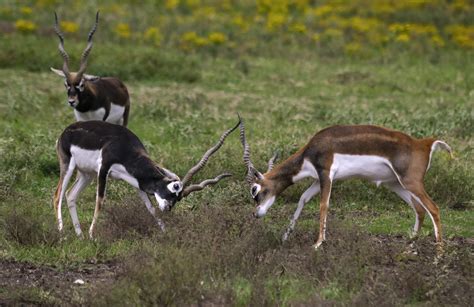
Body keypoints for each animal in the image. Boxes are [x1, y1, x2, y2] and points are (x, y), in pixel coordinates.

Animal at [54, 119, 241, 239]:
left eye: (179, 198)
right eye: (175, 189)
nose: (168, 208)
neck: (126, 148)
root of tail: (66, 130)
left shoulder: (137, 182)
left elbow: (150, 208)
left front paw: (166, 231)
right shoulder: (104, 169)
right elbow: (100, 201)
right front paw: (93, 235)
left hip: (87, 174)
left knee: (70, 195)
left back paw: (79, 235)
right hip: (69, 166)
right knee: (58, 196)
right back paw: (61, 231)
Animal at [239, 118, 454, 250]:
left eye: (255, 190)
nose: (256, 214)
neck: (311, 151)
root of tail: (425, 144)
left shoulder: (326, 174)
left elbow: (323, 205)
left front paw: (318, 243)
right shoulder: (317, 179)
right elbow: (302, 199)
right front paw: (285, 236)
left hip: (410, 182)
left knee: (433, 208)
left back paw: (439, 252)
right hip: (396, 184)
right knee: (419, 209)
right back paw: (410, 242)